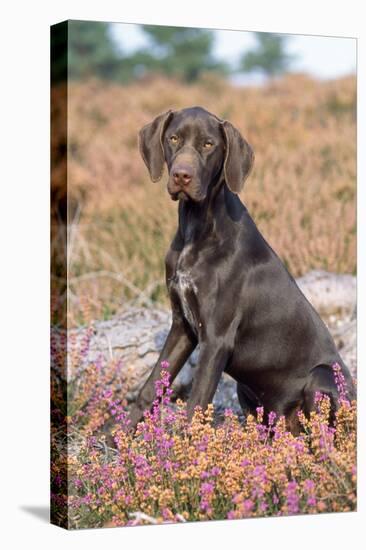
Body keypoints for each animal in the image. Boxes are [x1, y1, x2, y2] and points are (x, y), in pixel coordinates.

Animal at [128, 106, 354, 436]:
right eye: (173, 138)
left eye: (208, 144)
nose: (181, 175)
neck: (197, 228)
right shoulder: (183, 327)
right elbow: (150, 390)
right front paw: (112, 439)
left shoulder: (216, 340)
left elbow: (195, 407)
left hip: (322, 376)